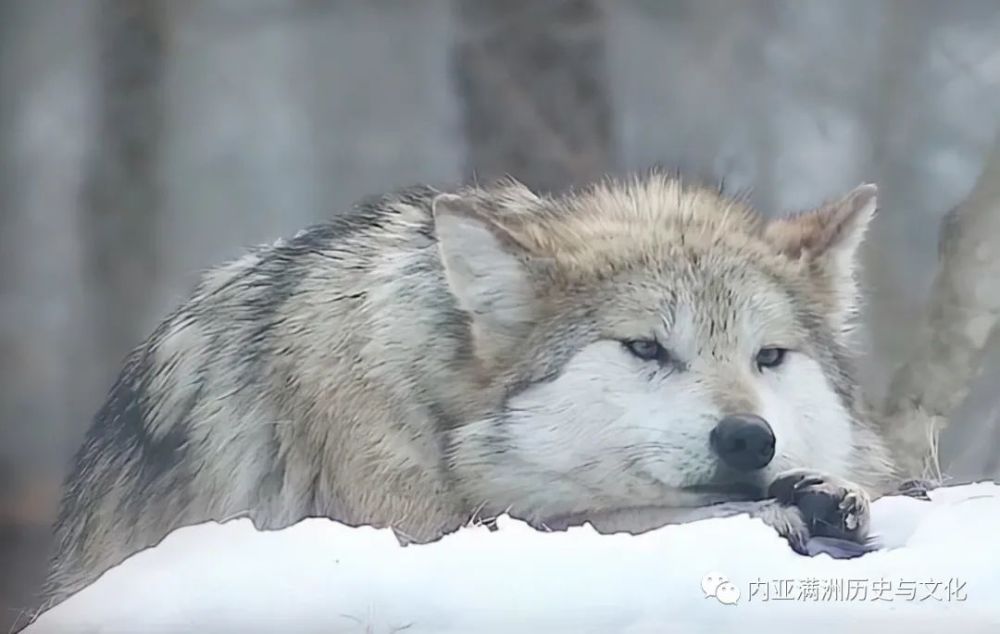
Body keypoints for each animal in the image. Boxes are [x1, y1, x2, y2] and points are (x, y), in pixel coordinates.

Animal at [41, 170, 900, 604]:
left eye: (769, 356)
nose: (750, 438)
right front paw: (790, 507)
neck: (441, 400)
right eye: (646, 347)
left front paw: (820, 491)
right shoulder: (418, 529)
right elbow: (616, 517)